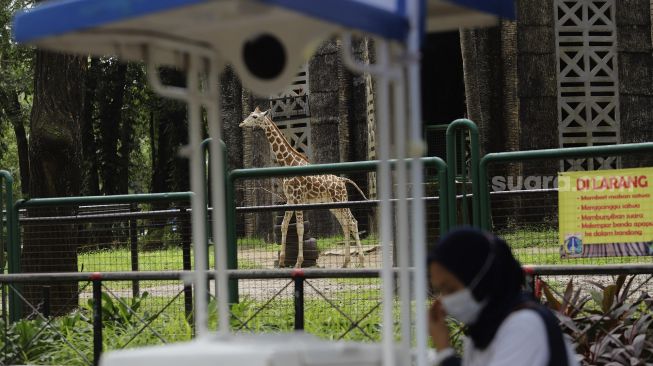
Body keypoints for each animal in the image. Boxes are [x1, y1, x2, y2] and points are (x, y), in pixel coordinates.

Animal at [239, 107, 366, 268]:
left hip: (341, 199)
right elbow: (284, 226)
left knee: (353, 222)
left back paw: (361, 262)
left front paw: (298, 263)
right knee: (345, 224)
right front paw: (282, 261)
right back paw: (345, 263)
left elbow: (300, 228)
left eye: (255, 117)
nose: (242, 123)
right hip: (333, 204)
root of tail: (342, 180)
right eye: (250, 115)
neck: (288, 163)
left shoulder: (298, 198)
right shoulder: (290, 199)